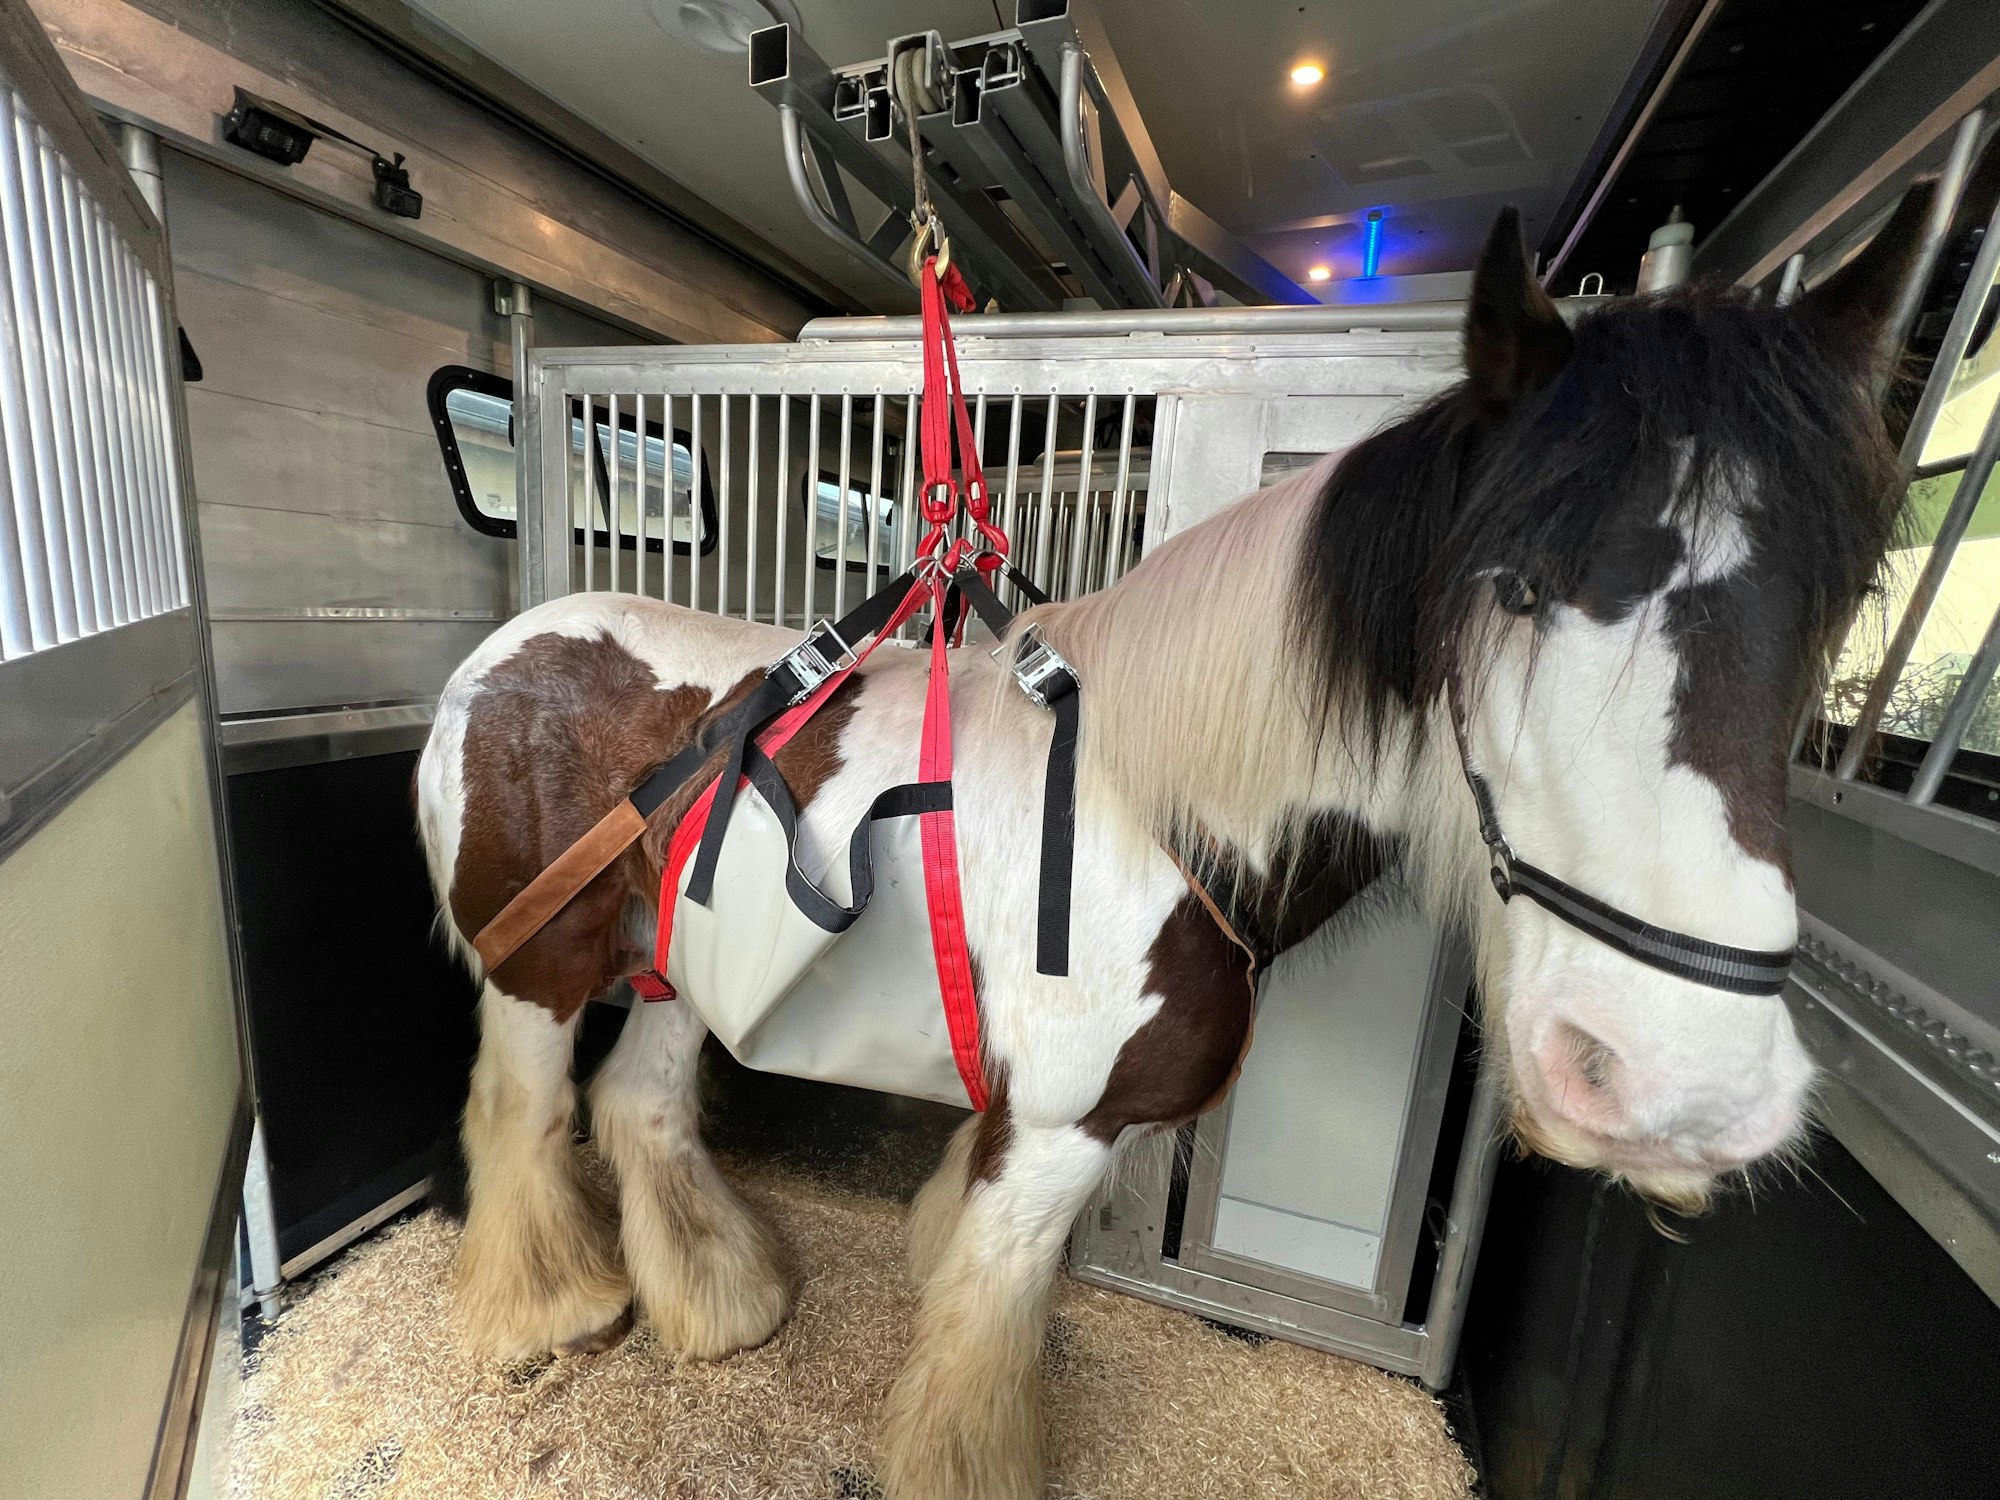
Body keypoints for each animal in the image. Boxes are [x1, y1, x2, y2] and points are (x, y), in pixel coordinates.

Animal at [413, 193, 1926, 1499]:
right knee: (524, 1113)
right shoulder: (1065, 1123)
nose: (1682, 1084)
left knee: (641, 1109)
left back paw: (720, 1304)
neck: (1148, 807)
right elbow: (982, 1341)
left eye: (1832, 603)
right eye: (1514, 586)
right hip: (539, 968)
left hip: (680, 973)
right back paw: (545, 1313)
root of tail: (494, 659)